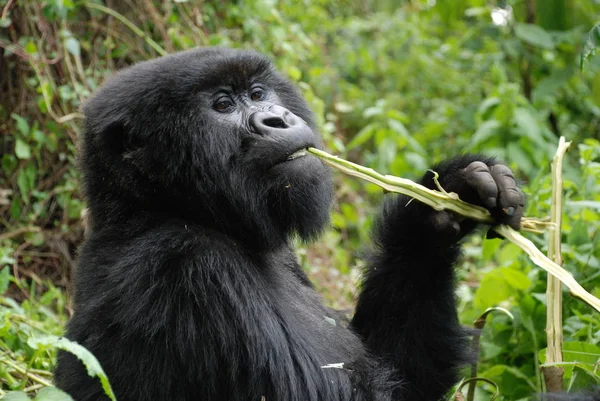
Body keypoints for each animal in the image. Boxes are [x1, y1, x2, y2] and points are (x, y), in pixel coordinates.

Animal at [52, 47, 528, 400]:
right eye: (222, 104)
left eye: (258, 93)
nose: (277, 119)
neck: (162, 208)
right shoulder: (189, 267)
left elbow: (408, 372)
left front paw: (438, 208)